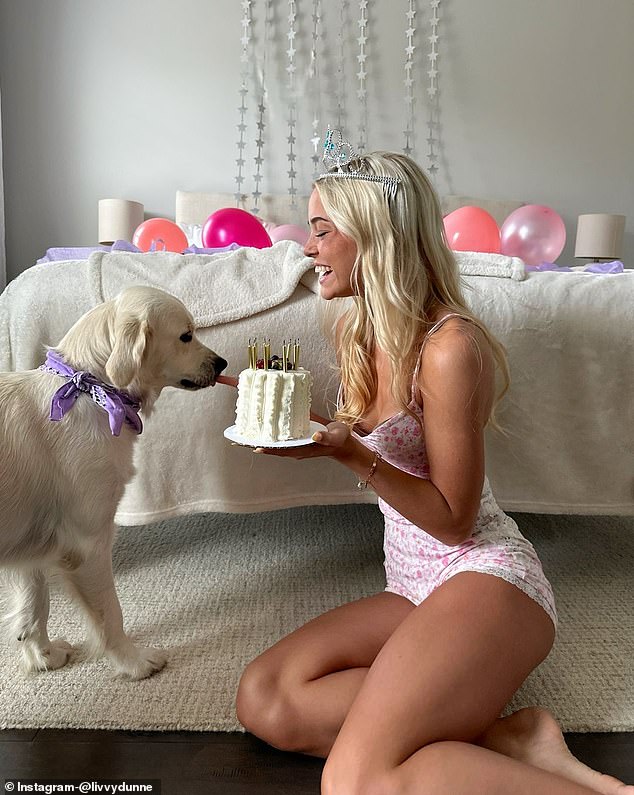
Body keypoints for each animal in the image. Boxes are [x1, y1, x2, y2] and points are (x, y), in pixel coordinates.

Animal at [0, 286, 227, 676]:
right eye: (186, 336)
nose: (222, 363)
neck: (90, 393)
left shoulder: (28, 548)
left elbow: (35, 604)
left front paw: (43, 655)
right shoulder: (87, 542)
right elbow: (110, 614)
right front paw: (133, 661)